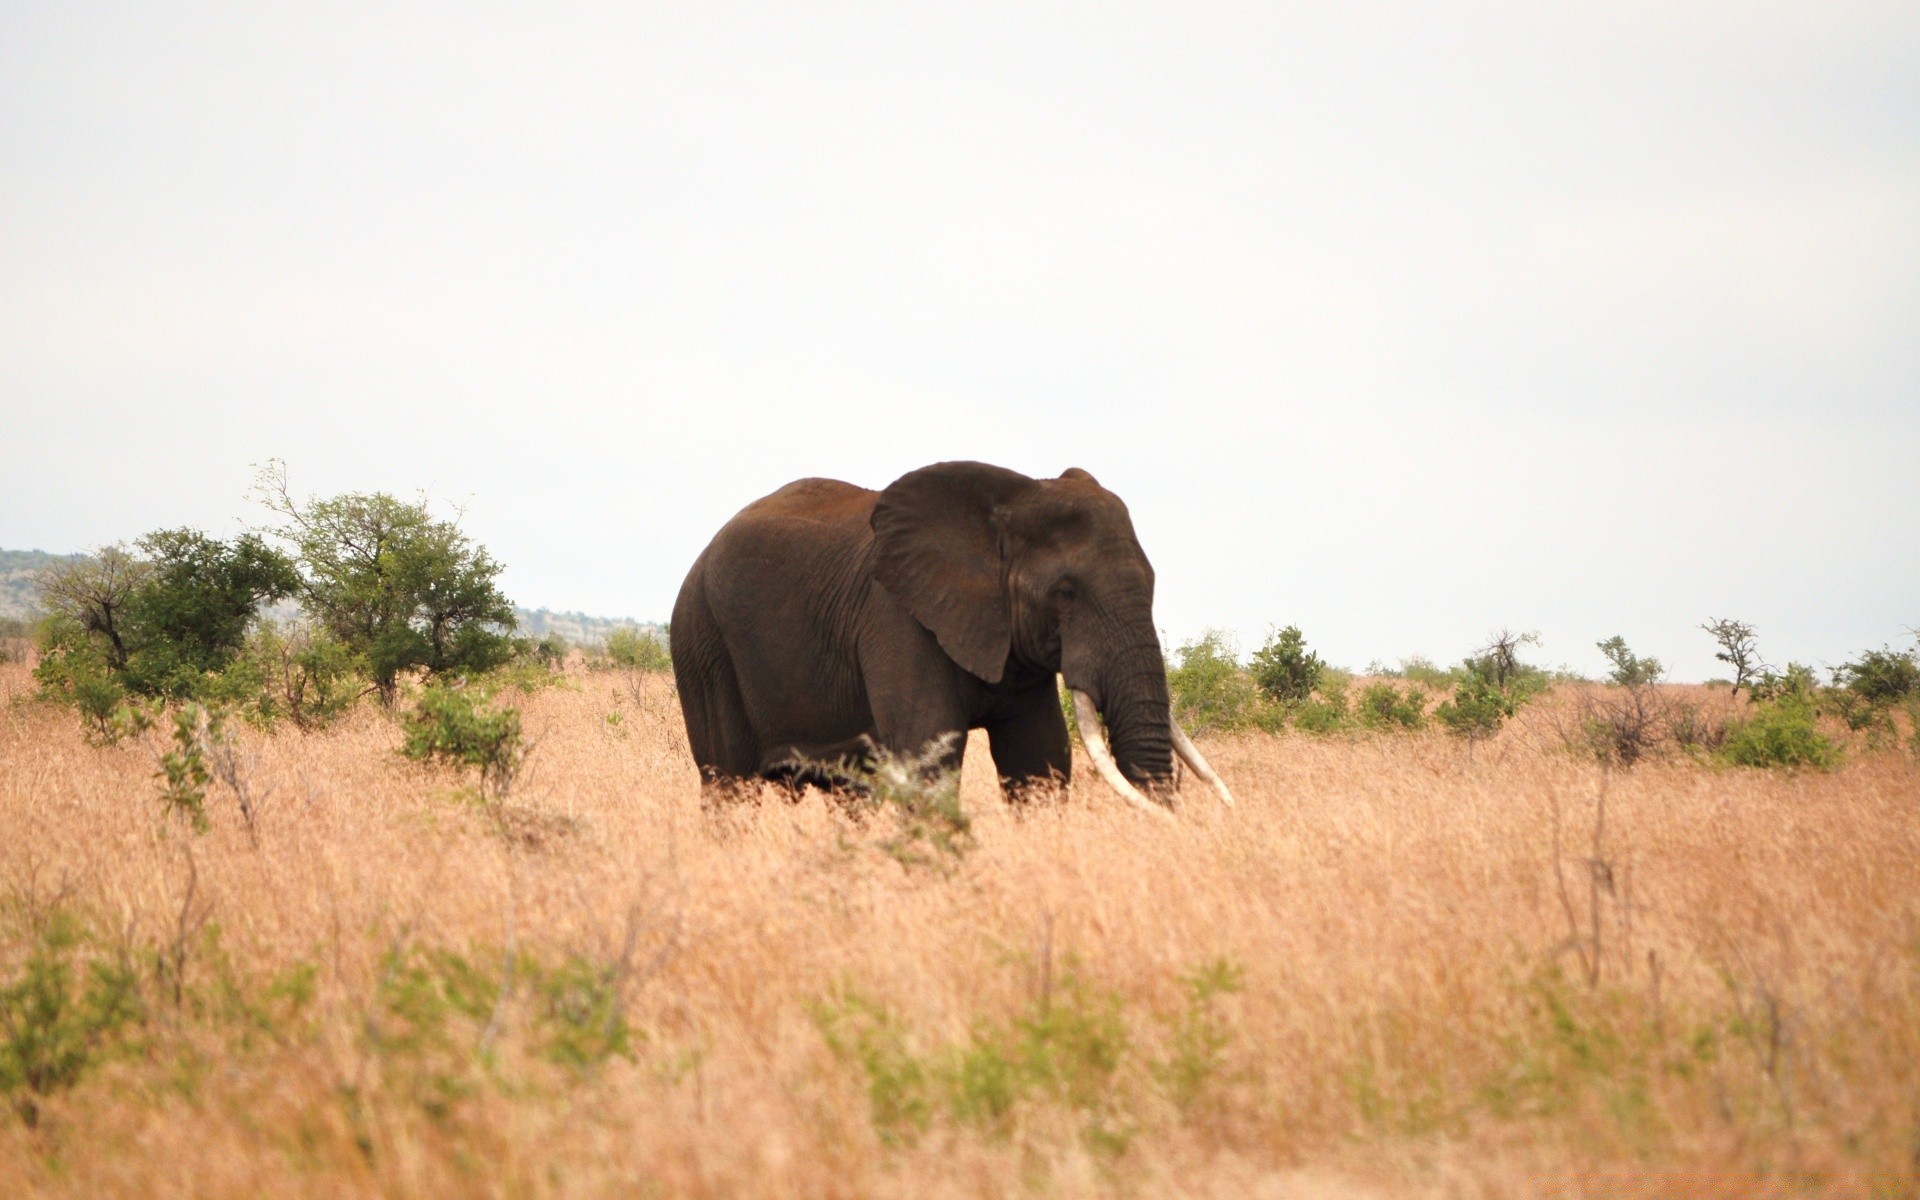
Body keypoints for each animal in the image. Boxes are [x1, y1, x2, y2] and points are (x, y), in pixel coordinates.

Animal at [668, 458, 1236, 814]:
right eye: (1065, 593)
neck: (1010, 502)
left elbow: (1039, 759)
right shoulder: (897, 617)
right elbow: (929, 757)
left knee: (849, 793)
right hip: (701, 641)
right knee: (729, 785)